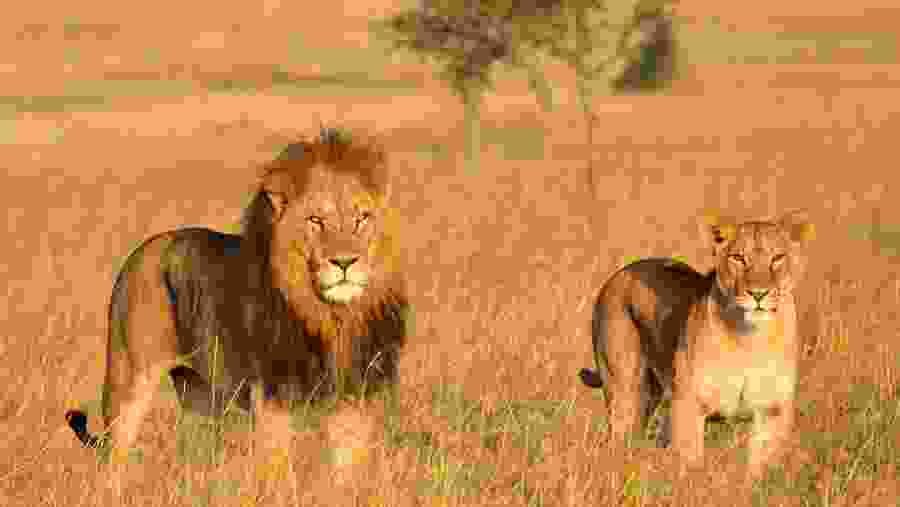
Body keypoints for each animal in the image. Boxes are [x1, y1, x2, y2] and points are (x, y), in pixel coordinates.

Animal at [65, 126, 408, 457]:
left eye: (362, 218)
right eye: (315, 220)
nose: (345, 261)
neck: (329, 316)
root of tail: (144, 249)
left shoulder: (352, 402)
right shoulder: (271, 402)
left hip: (200, 396)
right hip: (127, 384)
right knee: (114, 457)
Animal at [579, 210, 814, 477]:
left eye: (777, 258)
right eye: (738, 258)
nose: (758, 294)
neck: (750, 340)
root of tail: (623, 271)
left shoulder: (772, 413)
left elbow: (759, 471)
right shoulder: (689, 405)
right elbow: (690, 464)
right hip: (625, 393)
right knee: (619, 440)